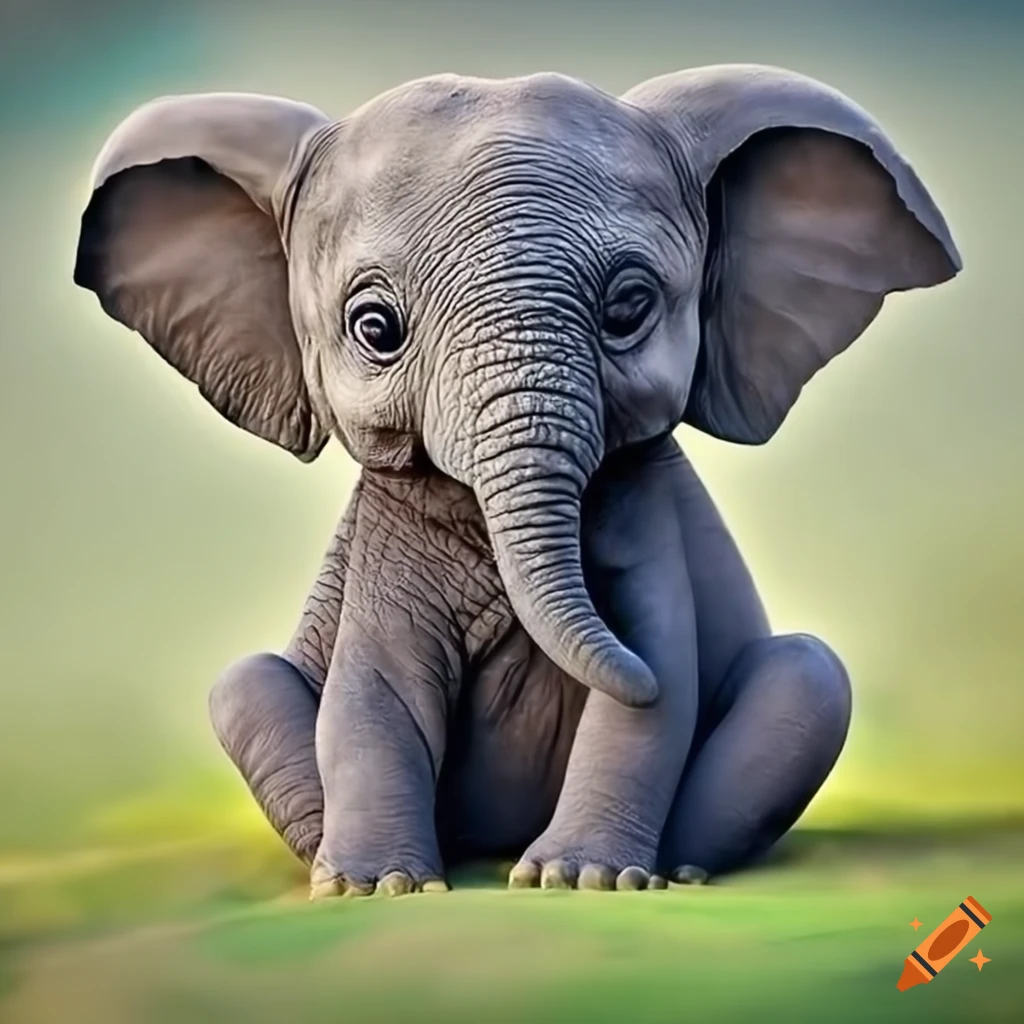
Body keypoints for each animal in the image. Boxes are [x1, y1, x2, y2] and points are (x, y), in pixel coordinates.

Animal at [74, 64, 960, 896]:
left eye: (630, 307)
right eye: (375, 328)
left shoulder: (646, 513)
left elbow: (659, 682)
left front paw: (580, 880)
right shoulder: (389, 534)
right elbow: (373, 694)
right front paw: (378, 889)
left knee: (810, 675)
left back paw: (670, 872)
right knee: (244, 684)